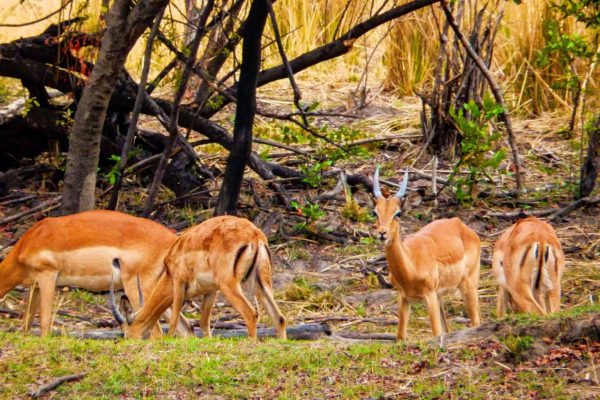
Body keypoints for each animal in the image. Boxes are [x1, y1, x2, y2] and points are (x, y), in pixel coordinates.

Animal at [0, 211, 191, 336]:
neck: (28, 242)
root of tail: (174, 240)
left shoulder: (47, 275)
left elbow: (45, 322)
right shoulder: (35, 287)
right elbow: (26, 323)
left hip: (139, 288)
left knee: (155, 331)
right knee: (185, 326)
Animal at [113, 216, 288, 340]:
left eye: (126, 334)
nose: (128, 340)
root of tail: (254, 234)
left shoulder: (178, 283)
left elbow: (174, 319)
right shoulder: (211, 290)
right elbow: (203, 322)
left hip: (230, 285)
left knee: (251, 314)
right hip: (261, 282)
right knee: (279, 318)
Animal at [370, 167, 482, 340]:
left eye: (398, 213)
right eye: (375, 212)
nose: (382, 233)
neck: (411, 268)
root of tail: (462, 225)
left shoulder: (429, 296)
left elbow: (436, 333)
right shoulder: (404, 298)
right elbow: (400, 337)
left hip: (468, 284)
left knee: (475, 321)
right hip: (442, 296)